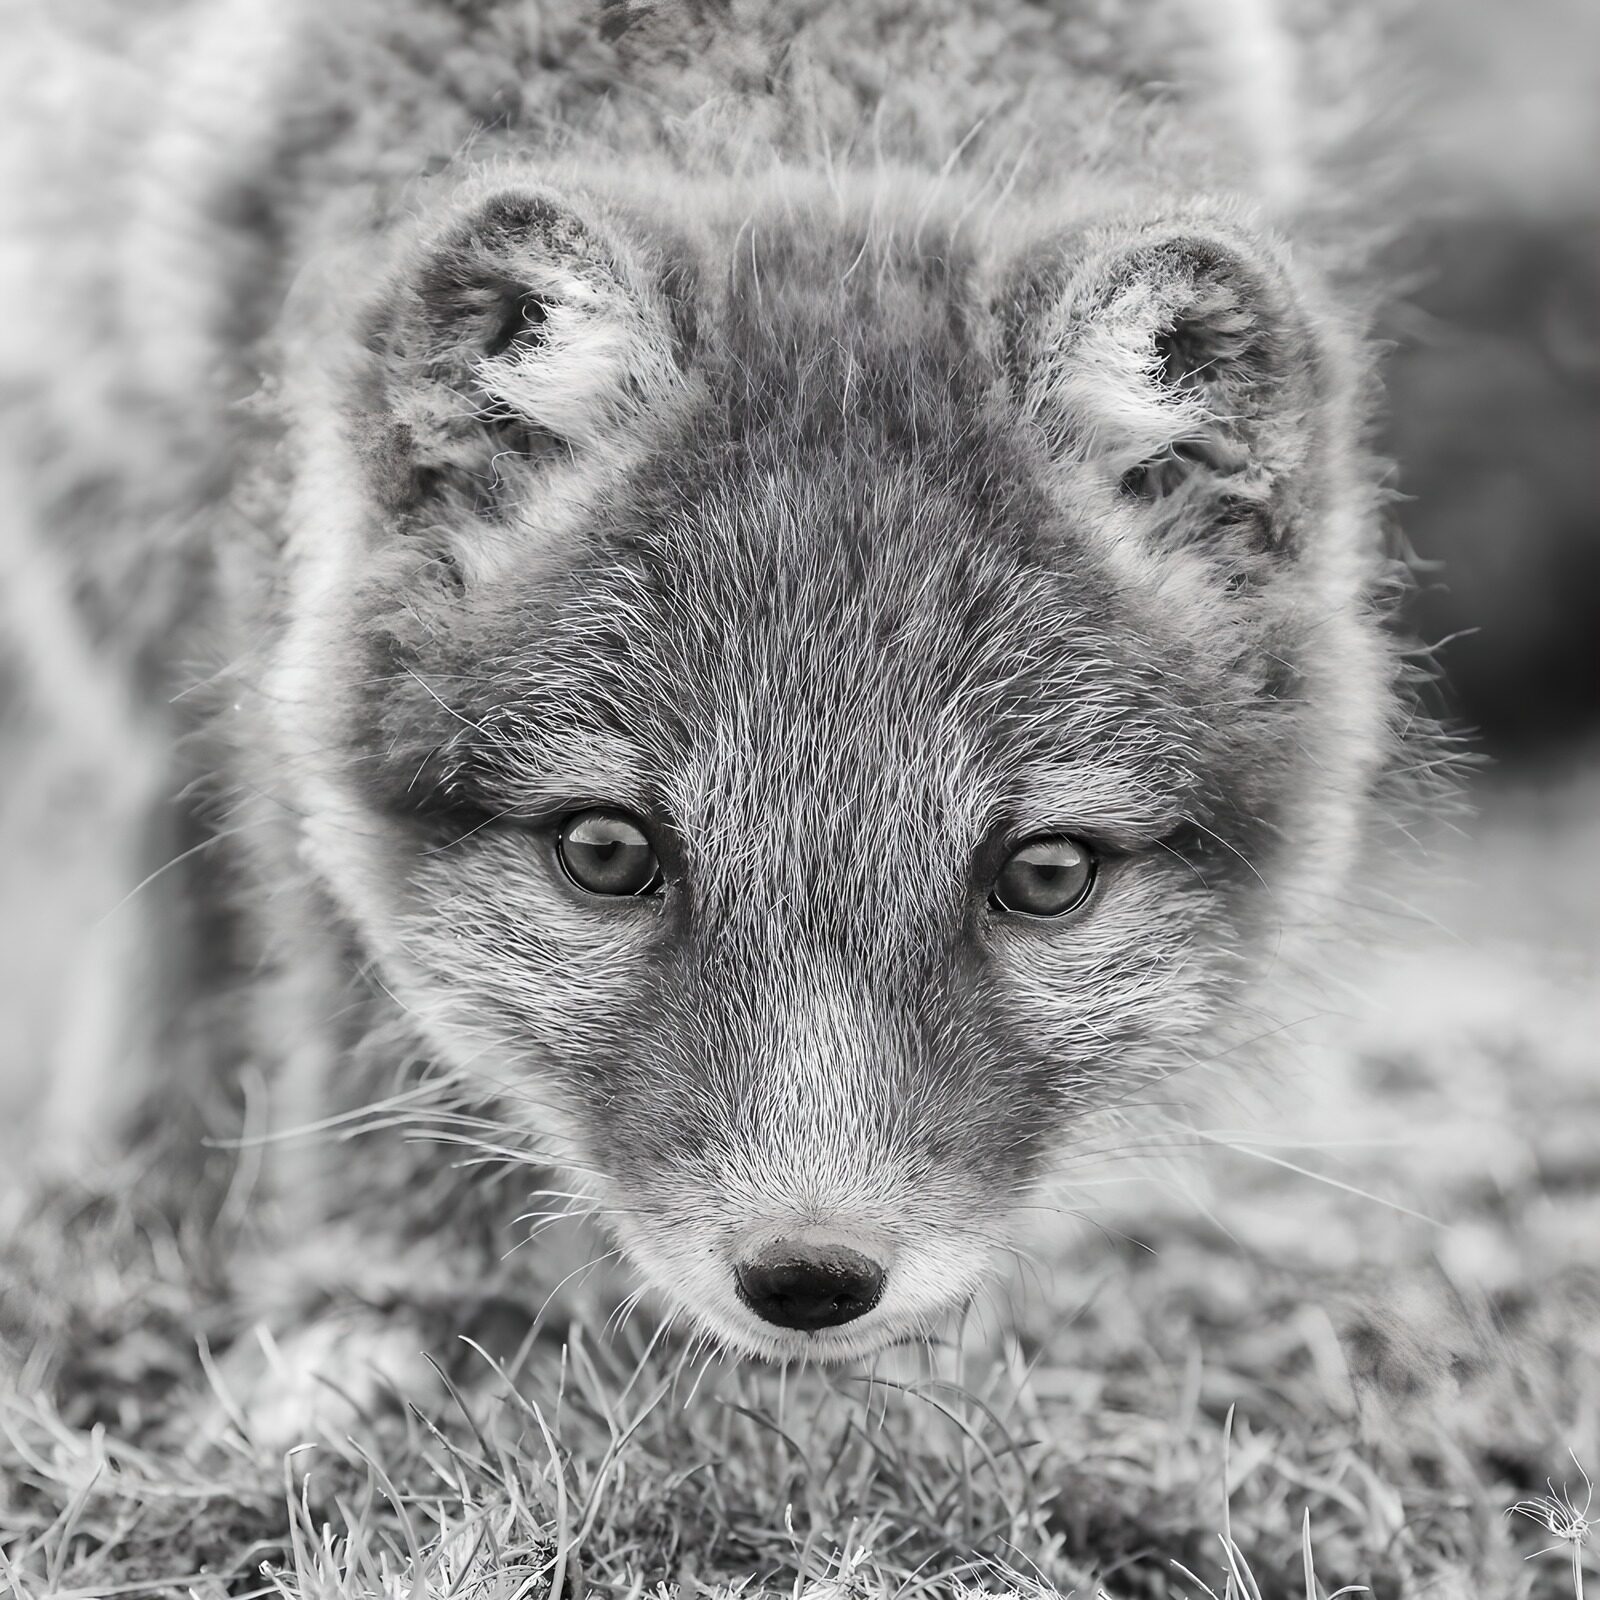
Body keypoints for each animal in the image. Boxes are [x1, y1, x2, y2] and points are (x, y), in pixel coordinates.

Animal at [5, 0, 1405, 1442]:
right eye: (605, 852)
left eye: (1047, 876)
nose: (810, 1277)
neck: (800, 62)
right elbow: (368, 1001)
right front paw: (398, 1300)